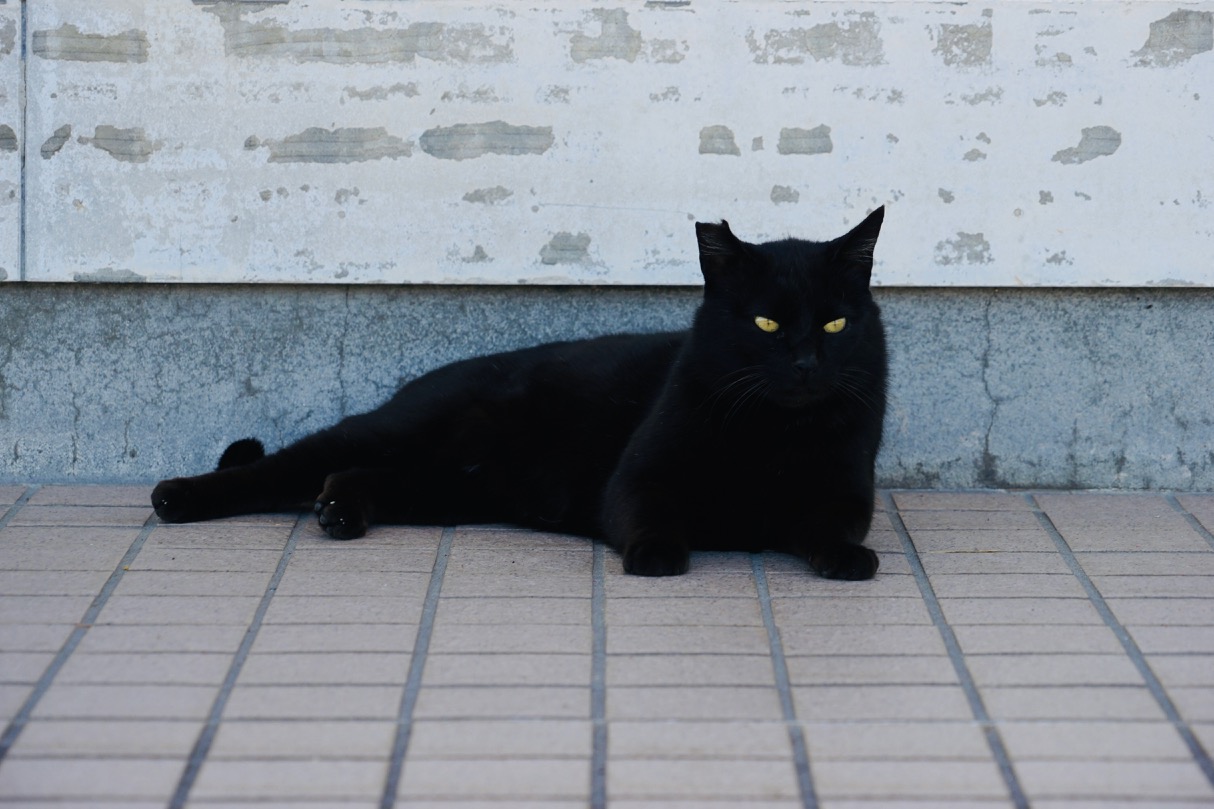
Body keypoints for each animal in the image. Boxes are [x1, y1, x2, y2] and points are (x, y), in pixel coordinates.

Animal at [153, 207, 888, 579]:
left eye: (835, 323)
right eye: (766, 323)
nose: (805, 362)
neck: (774, 433)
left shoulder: (845, 491)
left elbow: (831, 526)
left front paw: (847, 558)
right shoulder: (638, 478)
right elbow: (651, 518)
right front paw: (657, 554)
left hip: (450, 489)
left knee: (350, 475)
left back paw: (340, 512)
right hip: (402, 434)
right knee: (283, 465)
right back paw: (177, 497)